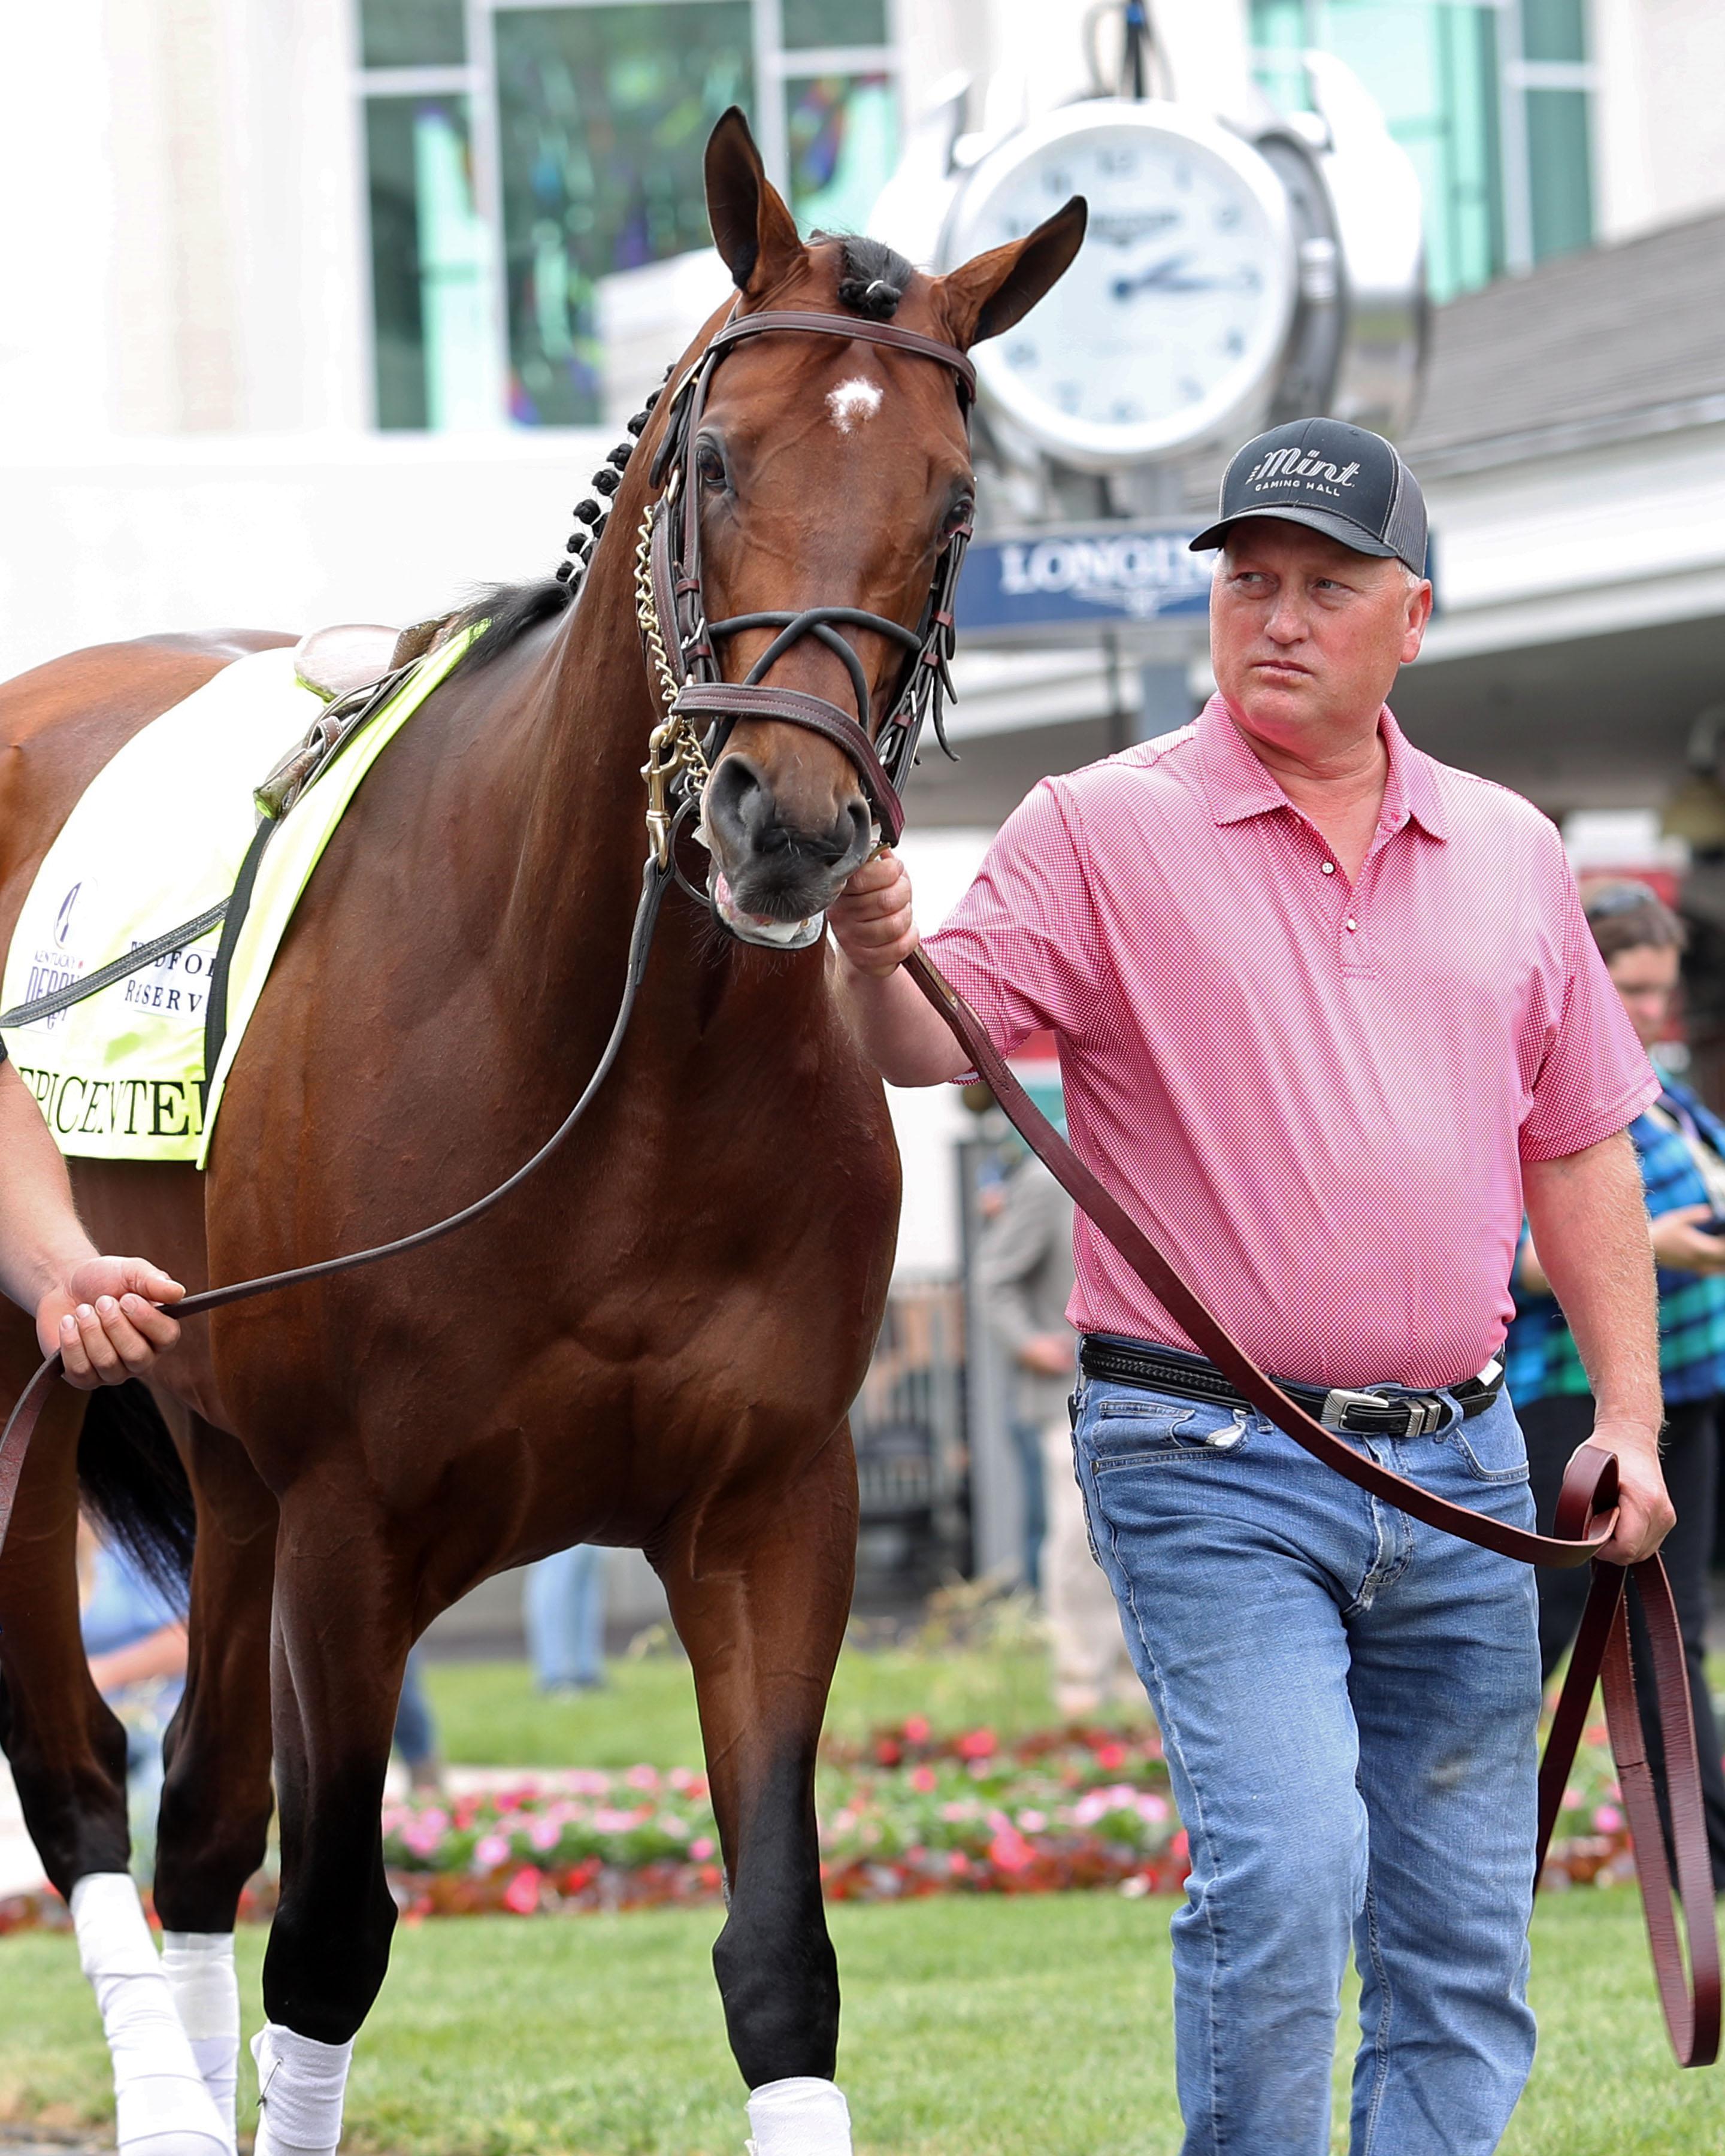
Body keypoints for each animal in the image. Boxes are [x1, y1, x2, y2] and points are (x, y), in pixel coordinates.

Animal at [0, 109, 1083, 2156]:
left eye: (958, 502)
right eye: (716, 461)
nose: (785, 825)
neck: (608, 1075)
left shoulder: (771, 1510)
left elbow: (779, 1954)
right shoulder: (355, 1529)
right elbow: (334, 1936)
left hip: (221, 1452)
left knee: (199, 1822)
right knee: (86, 1773)